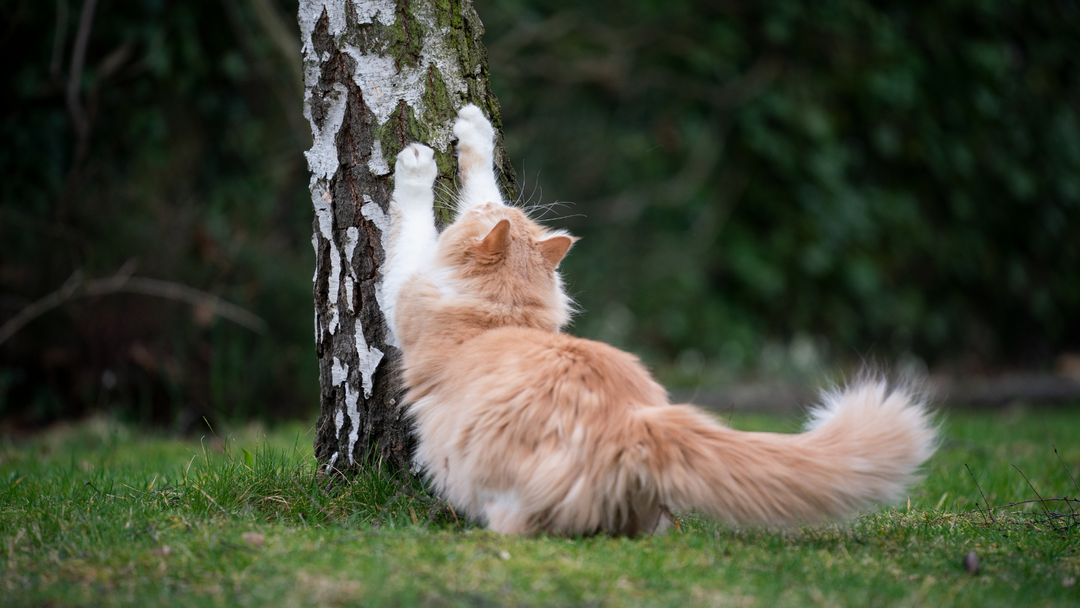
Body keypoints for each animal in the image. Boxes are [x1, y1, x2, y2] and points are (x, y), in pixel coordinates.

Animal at [382, 104, 937, 537]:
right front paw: (475, 127)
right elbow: (481, 179)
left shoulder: (404, 290)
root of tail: (638, 422)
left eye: (470, 222)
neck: (504, 314)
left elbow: (411, 224)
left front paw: (417, 165)